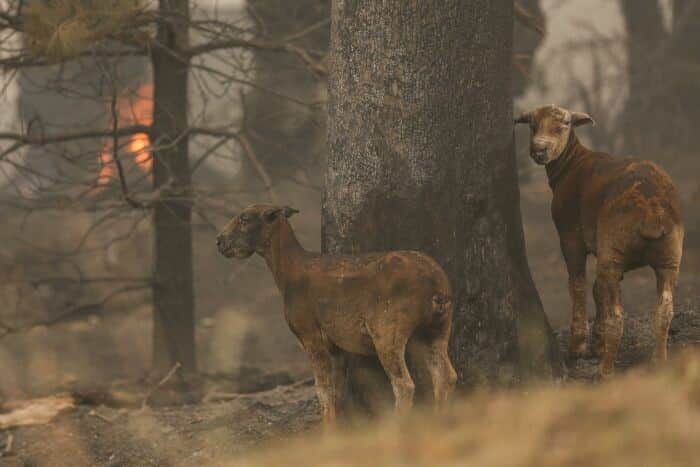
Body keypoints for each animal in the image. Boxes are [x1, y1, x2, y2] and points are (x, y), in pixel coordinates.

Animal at [219, 205, 460, 424]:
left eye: (245, 218)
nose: (219, 241)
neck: (286, 275)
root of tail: (437, 287)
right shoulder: (336, 345)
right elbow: (338, 391)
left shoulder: (309, 333)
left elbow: (323, 389)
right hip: (437, 328)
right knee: (446, 376)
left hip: (387, 332)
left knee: (404, 384)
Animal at [516, 104, 684, 378]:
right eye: (532, 125)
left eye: (563, 125)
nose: (539, 150)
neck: (573, 163)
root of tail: (651, 213)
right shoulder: (604, 249)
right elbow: (597, 289)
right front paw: (597, 342)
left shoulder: (570, 235)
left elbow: (578, 284)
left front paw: (579, 346)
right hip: (667, 254)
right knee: (664, 309)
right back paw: (659, 362)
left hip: (614, 249)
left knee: (618, 316)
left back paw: (605, 370)